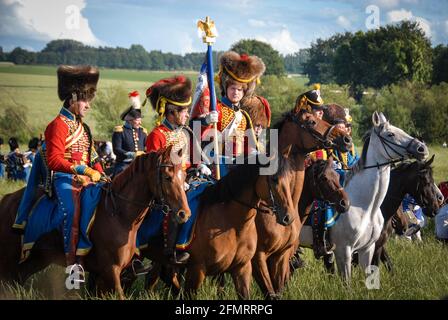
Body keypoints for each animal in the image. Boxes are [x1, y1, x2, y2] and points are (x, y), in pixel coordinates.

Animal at [0, 146, 189, 298]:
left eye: (184, 176)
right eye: (167, 177)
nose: (184, 214)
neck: (119, 215)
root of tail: (7, 200)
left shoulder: (102, 275)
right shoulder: (111, 270)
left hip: (36, 259)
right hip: (10, 259)